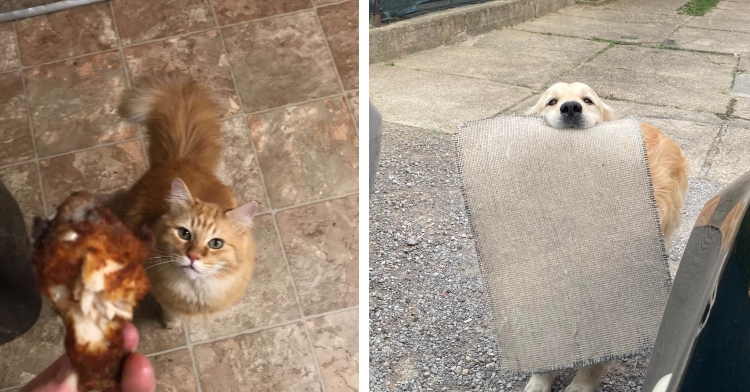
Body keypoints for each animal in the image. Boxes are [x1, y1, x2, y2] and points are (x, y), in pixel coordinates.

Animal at [119, 76, 258, 328]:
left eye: (216, 243)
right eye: (184, 234)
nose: (193, 257)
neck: (197, 291)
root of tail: (181, 157)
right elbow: (170, 312)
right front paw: (170, 324)